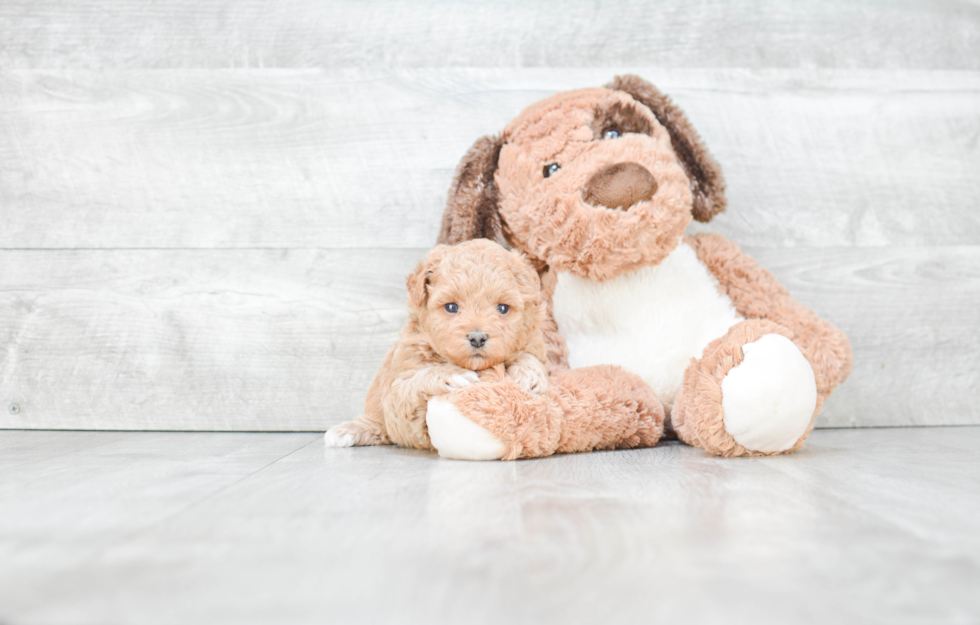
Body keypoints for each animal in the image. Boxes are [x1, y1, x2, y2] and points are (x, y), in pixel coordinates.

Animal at [326, 238, 548, 448]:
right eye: (451, 307)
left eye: (503, 308)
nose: (477, 338)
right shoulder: (397, 397)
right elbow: (414, 382)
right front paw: (452, 374)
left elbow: (529, 356)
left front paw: (530, 376)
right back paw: (346, 431)